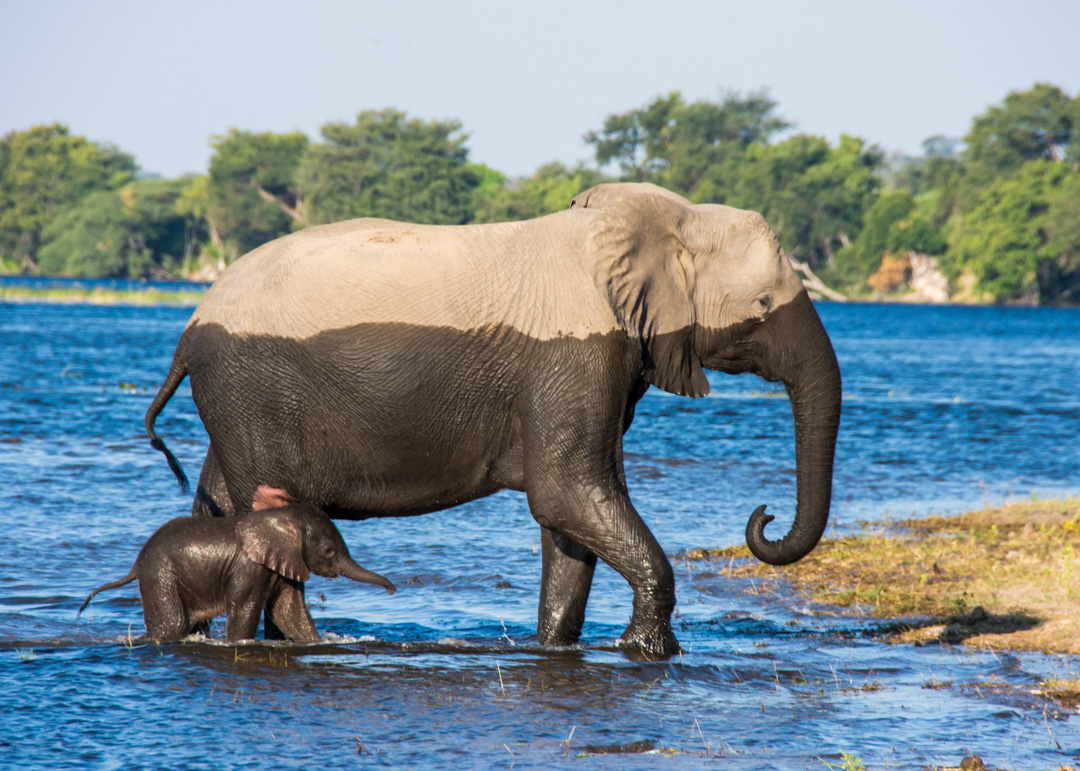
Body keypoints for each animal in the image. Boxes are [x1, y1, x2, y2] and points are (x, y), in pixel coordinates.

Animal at [79, 485, 395, 643]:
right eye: (328, 551)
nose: (392, 591)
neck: (282, 517)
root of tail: (137, 561)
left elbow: (290, 612)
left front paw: (317, 643)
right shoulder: (248, 567)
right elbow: (246, 610)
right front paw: (239, 644)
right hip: (159, 574)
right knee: (172, 626)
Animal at [143, 184, 838, 656]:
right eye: (763, 306)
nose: (763, 514)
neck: (666, 218)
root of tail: (189, 329)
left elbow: (570, 521)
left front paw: (556, 648)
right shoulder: (573, 353)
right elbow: (566, 491)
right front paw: (647, 652)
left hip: (235, 404)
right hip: (250, 392)